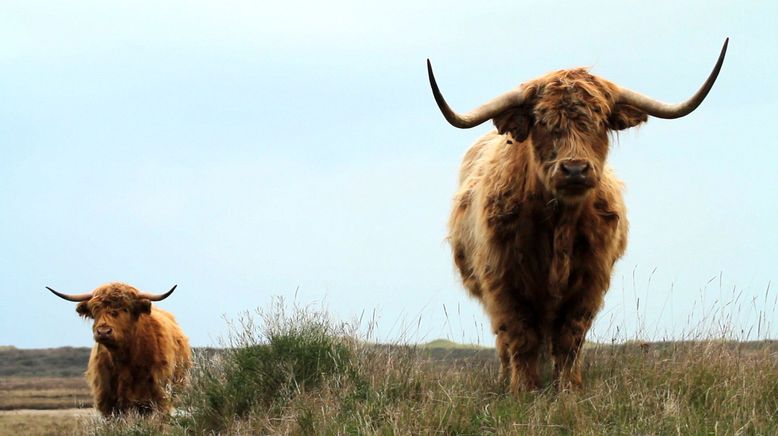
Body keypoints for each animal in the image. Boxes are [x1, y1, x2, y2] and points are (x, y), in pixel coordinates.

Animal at [47, 282, 191, 416]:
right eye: (95, 310)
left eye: (125, 309)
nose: (103, 331)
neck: (125, 359)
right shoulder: (108, 402)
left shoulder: (158, 397)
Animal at [428, 38, 724, 392]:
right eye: (543, 121)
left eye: (600, 122)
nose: (575, 169)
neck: (560, 228)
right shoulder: (503, 280)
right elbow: (520, 336)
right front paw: (523, 389)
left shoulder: (590, 282)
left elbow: (570, 338)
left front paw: (569, 389)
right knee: (505, 342)